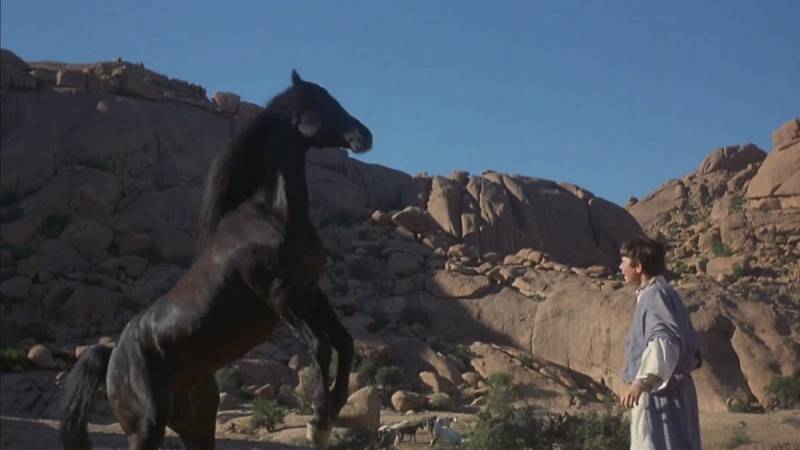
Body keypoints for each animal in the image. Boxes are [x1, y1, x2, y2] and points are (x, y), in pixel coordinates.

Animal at [60, 70, 372, 450]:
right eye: (320, 104)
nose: (364, 135)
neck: (273, 215)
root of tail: (113, 356)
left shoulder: (310, 291)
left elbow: (344, 341)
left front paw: (331, 412)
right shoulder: (280, 294)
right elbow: (321, 346)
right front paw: (318, 419)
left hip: (197, 424)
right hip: (146, 428)